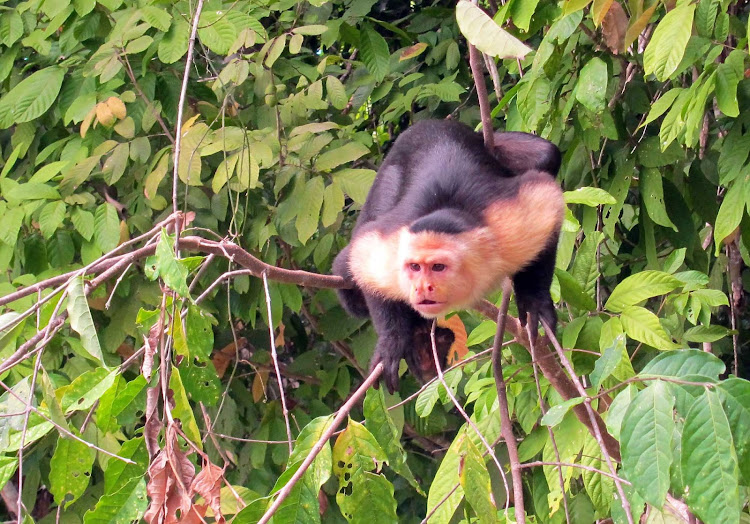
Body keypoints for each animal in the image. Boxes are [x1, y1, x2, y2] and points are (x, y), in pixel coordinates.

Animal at [334, 119, 564, 392]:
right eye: (414, 267)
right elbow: (364, 254)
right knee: (348, 280)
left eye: (438, 267)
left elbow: (546, 202)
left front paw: (534, 300)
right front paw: (392, 339)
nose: (422, 287)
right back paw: (421, 338)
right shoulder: (394, 243)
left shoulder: (505, 225)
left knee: (546, 154)